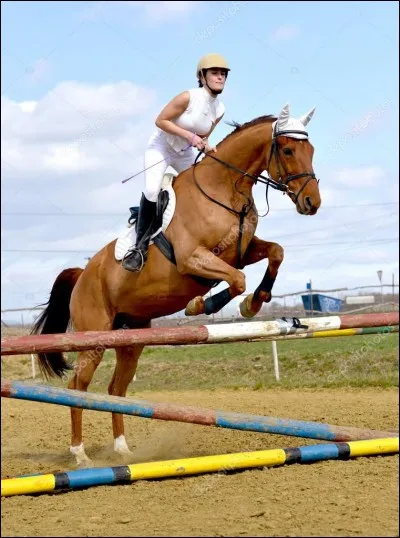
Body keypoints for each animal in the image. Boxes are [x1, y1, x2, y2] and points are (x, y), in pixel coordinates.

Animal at [31, 102, 322, 462]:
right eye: (287, 149)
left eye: (311, 150)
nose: (312, 203)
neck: (224, 189)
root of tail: (82, 275)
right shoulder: (193, 259)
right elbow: (238, 280)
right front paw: (202, 305)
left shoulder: (242, 251)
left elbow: (275, 253)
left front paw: (254, 302)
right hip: (93, 340)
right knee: (78, 389)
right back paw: (80, 454)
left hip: (132, 339)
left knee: (115, 390)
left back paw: (122, 449)